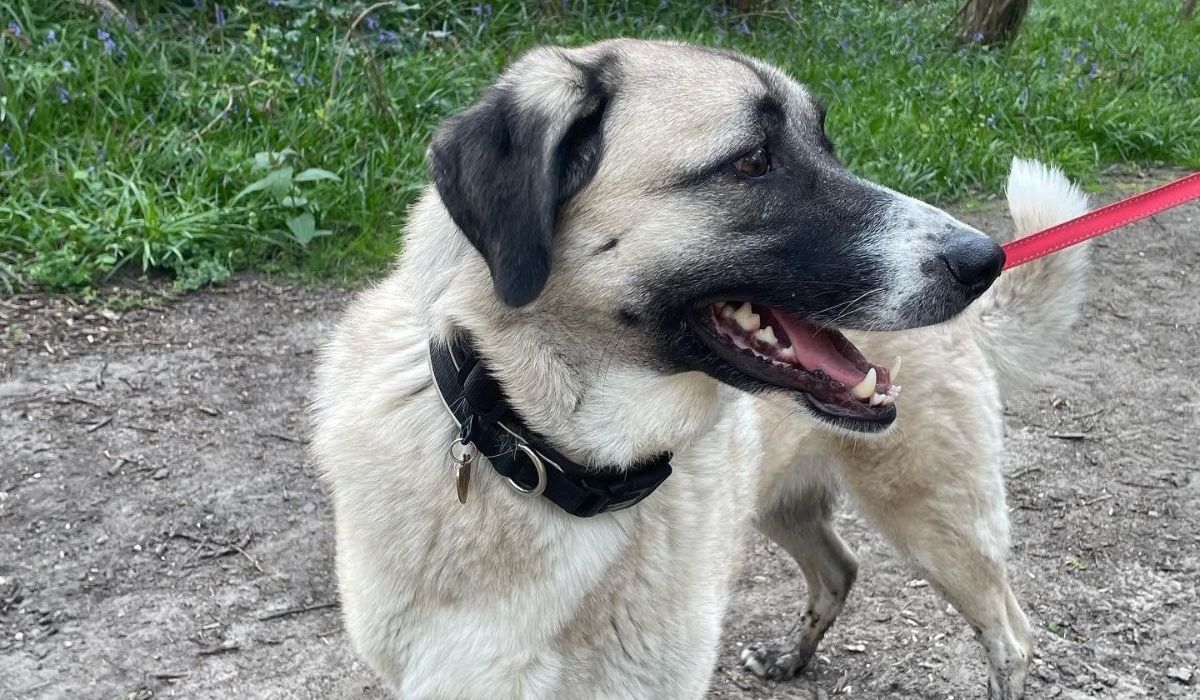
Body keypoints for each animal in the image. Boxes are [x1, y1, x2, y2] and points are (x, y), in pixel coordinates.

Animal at [309, 39, 1089, 700]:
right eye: (752, 160)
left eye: (827, 147)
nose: (984, 261)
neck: (549, 462)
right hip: (790, 502)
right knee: (840, 569)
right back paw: (790, 658)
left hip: (939, 518)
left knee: (1012, 635)